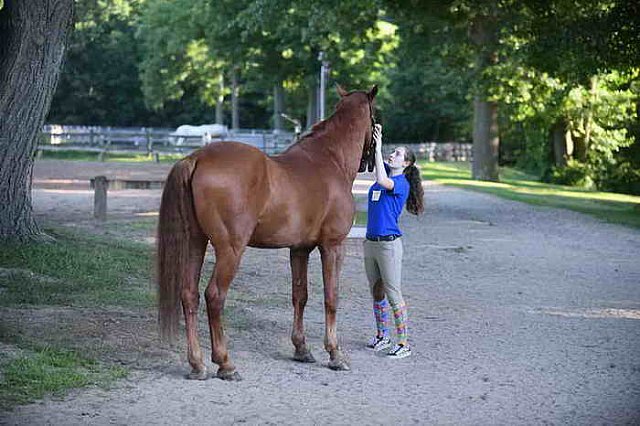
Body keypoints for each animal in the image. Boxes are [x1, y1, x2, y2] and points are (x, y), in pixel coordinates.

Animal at [158, 85, 378, 382]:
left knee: (189, 295)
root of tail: (197, 158)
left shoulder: (299, 250)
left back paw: (197, 364)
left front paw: (302, 349)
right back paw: (225, 364)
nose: (370, 161)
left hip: (196, 242)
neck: (329, 160)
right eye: (375, 117)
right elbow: (331, 297)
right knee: (214, 296)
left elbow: (300, 296)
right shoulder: (333, 246)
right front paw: (335, 354)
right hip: (230, 250)